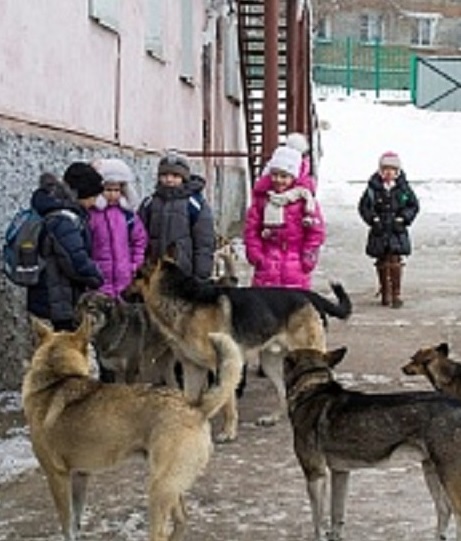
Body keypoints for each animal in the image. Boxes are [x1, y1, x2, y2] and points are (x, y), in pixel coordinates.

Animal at [21, 316, 243, 540]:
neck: (54, 379)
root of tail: (194, 406)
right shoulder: (80, 476)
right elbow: (76, 522)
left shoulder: (57, 477)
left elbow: (67, 526)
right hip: (172, 486)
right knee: (182, 521)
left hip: (159, 488)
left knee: (160, 533)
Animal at [120, 260, 350, 440]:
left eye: (135, 274)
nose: (120, 293)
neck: (185, 300)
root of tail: (309, 295)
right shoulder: (192, 368)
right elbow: (190, 399)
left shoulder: (223, 365)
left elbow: (227, 404)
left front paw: (228, 433)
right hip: (271, 363)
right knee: (283, 391)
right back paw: (273, 418)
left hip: (309, 355)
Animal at [280, 346, 461, 540]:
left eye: (285, 360)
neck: (312, 388)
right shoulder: (340, 472)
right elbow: (337, 515)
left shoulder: (315, 474)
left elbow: (317, 523)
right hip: (430, 470)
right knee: (444, 509)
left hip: (447, 474)